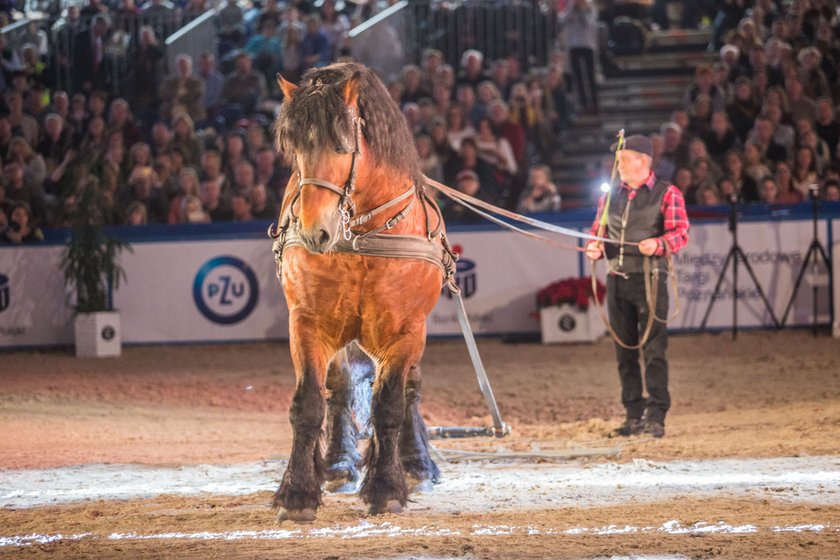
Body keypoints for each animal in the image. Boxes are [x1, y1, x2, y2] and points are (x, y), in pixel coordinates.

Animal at [270, 62, 452, 520]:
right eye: (293, 149)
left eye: (342, 145)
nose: (315, 231)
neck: (363, 234)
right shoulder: (307, 324)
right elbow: (308, 404)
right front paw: (297, 493)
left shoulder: (405, 330)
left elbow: (389, 405)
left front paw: (386, 488)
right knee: (340, 388)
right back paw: (337, 463)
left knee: (410, 390)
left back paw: (416, 464)